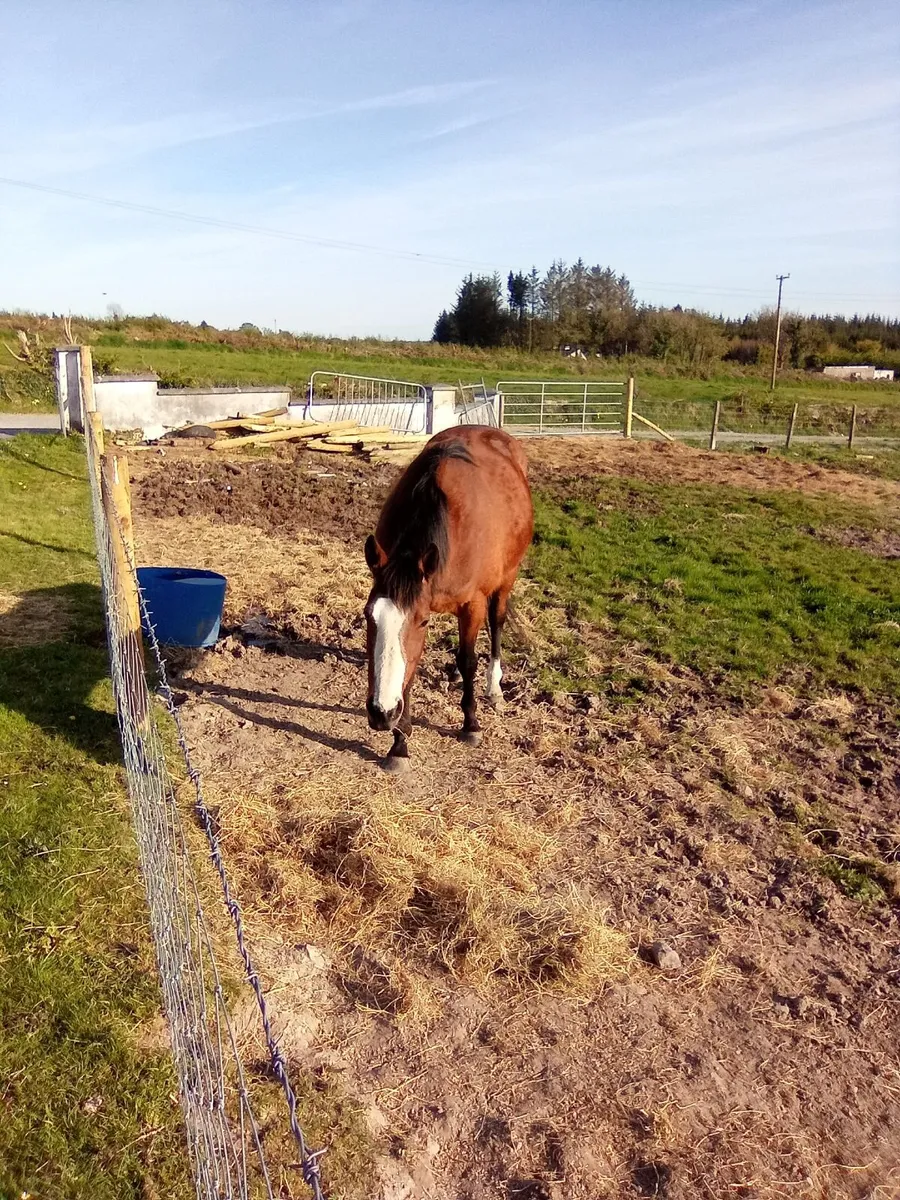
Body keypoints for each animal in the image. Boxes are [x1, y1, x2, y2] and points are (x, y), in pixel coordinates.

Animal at [363, 424, 533, 773]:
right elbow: (410, 667)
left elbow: (469, 659)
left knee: (496, 624)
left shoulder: (472, 604)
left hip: (506, 579)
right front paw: (399, 744)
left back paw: (493, 687)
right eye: (367, 616)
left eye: (422, 621)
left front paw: (471, 724)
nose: (381, 713)